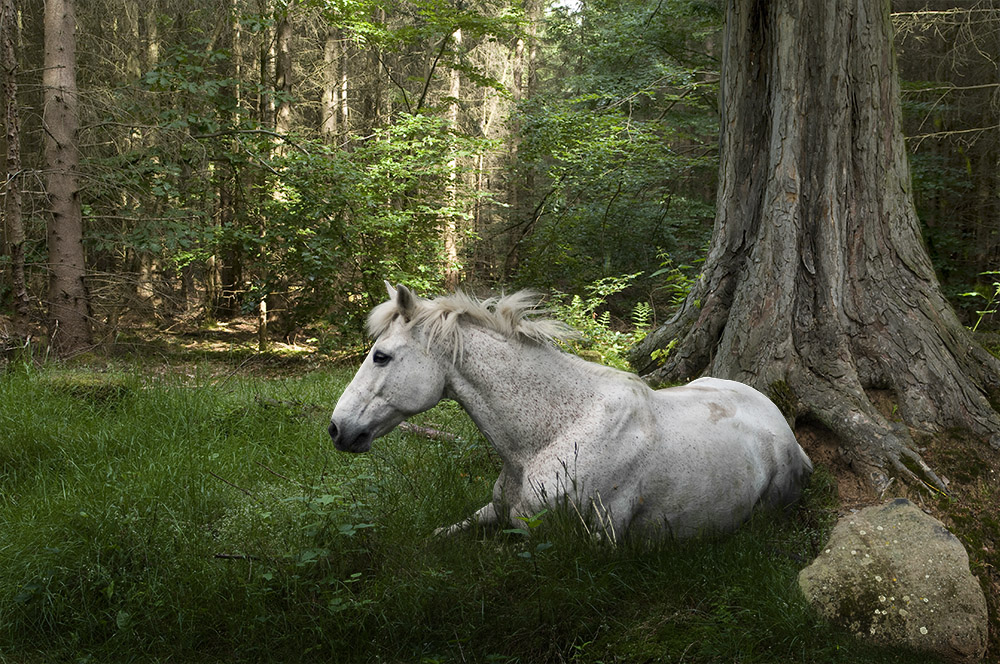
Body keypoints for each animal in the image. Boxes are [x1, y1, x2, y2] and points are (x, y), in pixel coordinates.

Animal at [328, 282, 812, 536]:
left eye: (381, 356)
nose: (336, 429)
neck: (554, 434)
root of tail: (790, 436)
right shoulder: (494, 512)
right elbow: (439, 536)